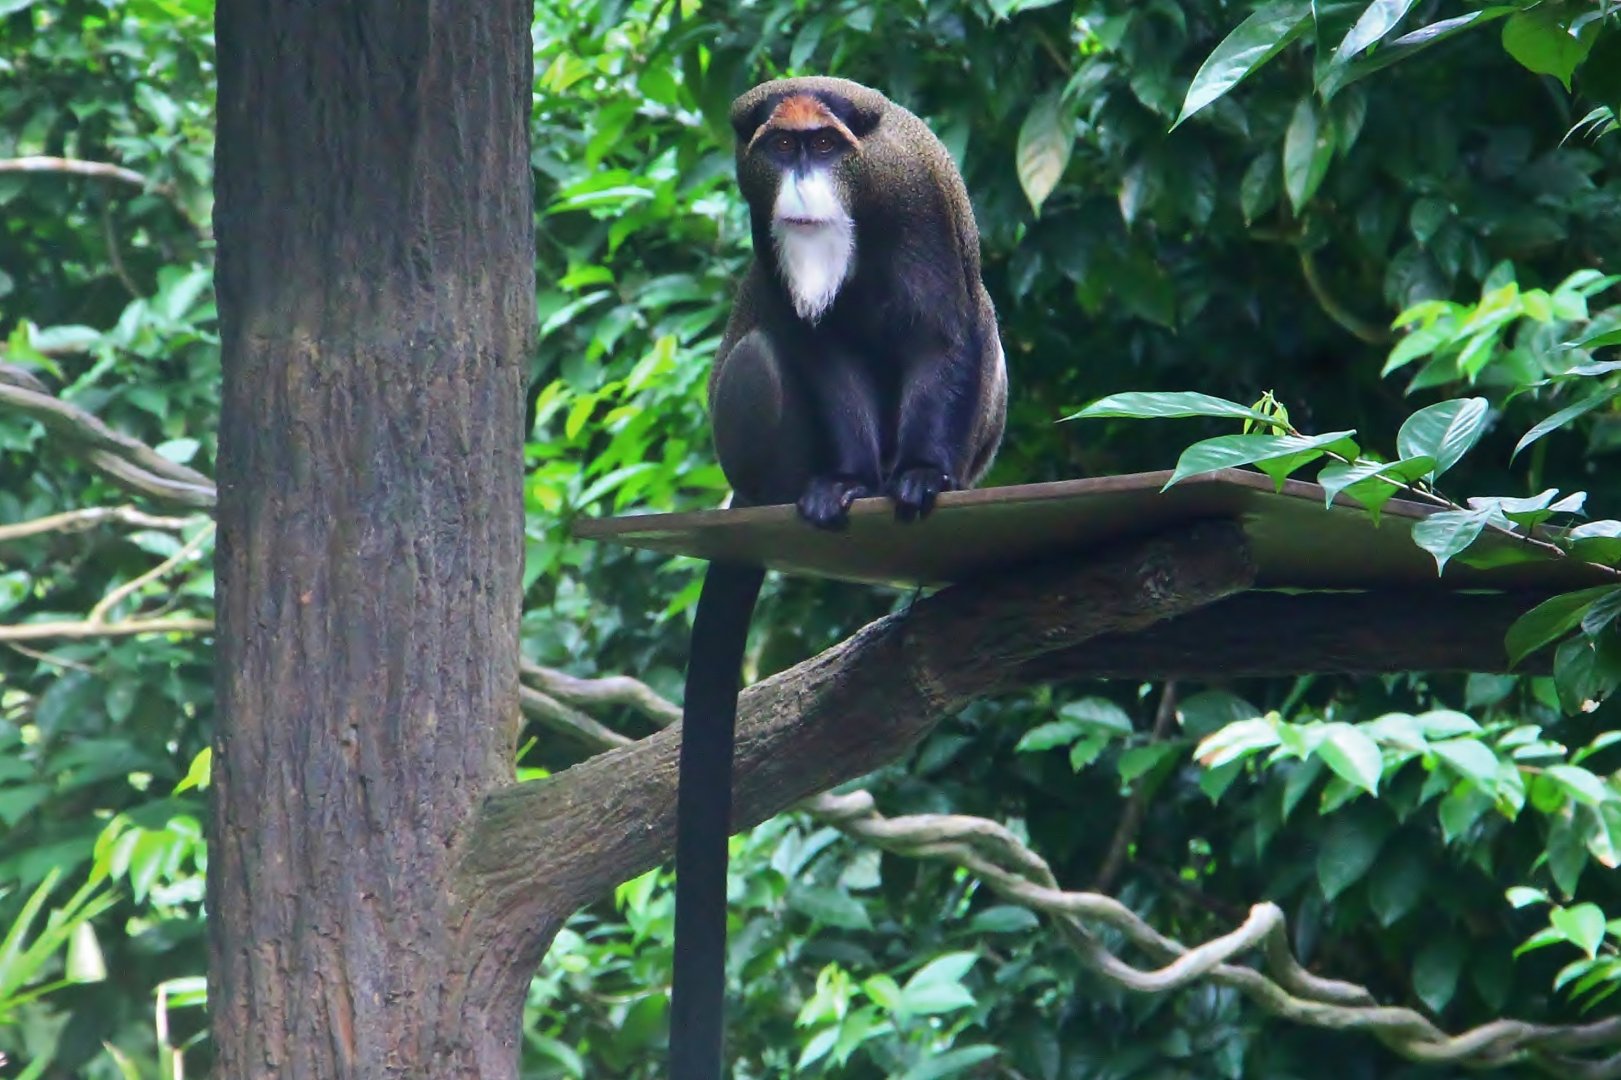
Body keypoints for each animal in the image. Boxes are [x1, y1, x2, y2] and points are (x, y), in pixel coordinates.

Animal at [670, 76, 1007, 1080]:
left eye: (823, 147)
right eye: (780, 152)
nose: (803, 184)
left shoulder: (919, 194)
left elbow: (945, 333)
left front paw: (917, 480)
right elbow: (818, 352)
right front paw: (846, 485)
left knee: (983, 325)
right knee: (762, 354)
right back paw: (803, 488)